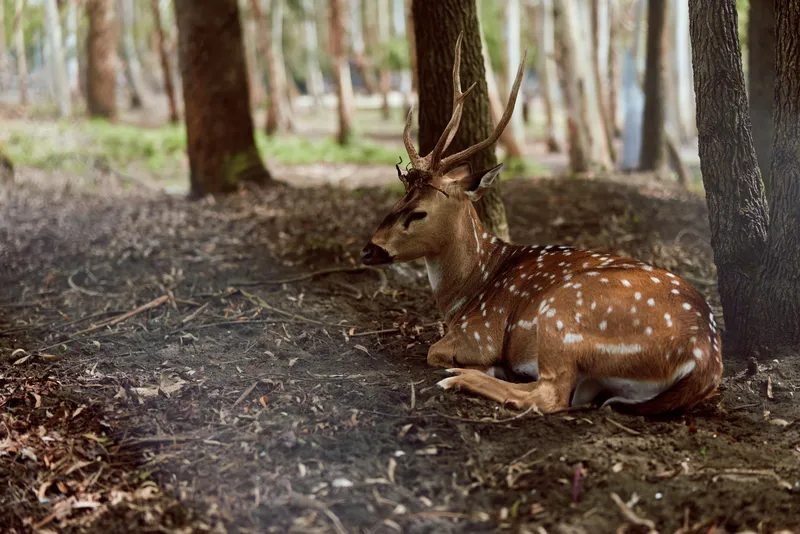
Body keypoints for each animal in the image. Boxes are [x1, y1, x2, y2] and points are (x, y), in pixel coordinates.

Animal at [360, 33, 723, 416]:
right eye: (399, 199)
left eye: (419, 212)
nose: (368, 251)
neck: (468, 292)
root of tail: (704, 359)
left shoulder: (481, 331)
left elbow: (435, 350)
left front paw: (473, 365)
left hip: (561, 312)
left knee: (550, 395)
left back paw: (459, 377)